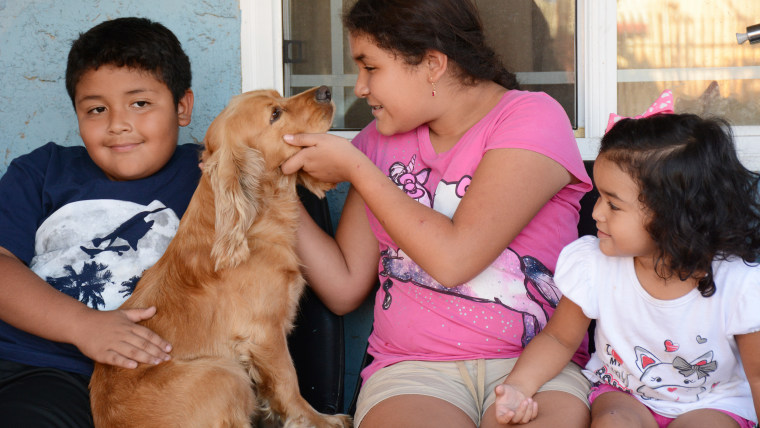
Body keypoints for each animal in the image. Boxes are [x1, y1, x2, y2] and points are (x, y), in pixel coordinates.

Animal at [90, 85, 354, 426]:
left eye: (279, 96)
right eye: (275, 114)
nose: (325, 90)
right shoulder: (264, 333)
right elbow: (289, 383)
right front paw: (319, 420)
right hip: (224, 373)